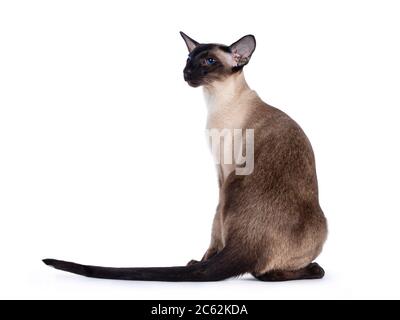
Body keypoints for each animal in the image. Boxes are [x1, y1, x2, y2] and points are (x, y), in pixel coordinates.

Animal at [43, 32, 328, 282]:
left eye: (209, 61)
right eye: (189, 58)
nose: (186, 73)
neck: (216, 101)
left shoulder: (224, 171)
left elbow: (215, 230)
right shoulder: (220, 171)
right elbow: (215, 233)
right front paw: (200, 261)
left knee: (265, 273)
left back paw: (313, 269)